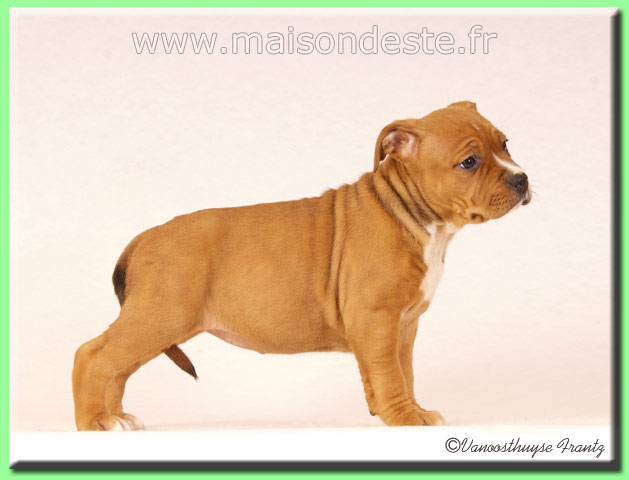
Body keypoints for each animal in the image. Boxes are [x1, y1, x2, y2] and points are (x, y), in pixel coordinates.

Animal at [72, 101, 530, 430]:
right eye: (469, 163)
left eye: (505, 144)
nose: (521, 179)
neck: (410, 213)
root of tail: (142, 238)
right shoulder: (377, 318)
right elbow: (392, 374)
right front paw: (405, 417)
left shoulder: (402, 325)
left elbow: (400, 371)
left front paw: (399, 409)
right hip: (159, 316)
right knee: (92, 355)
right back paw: (94, 422)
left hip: (155, 324)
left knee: (117, 368)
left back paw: (116, 416)